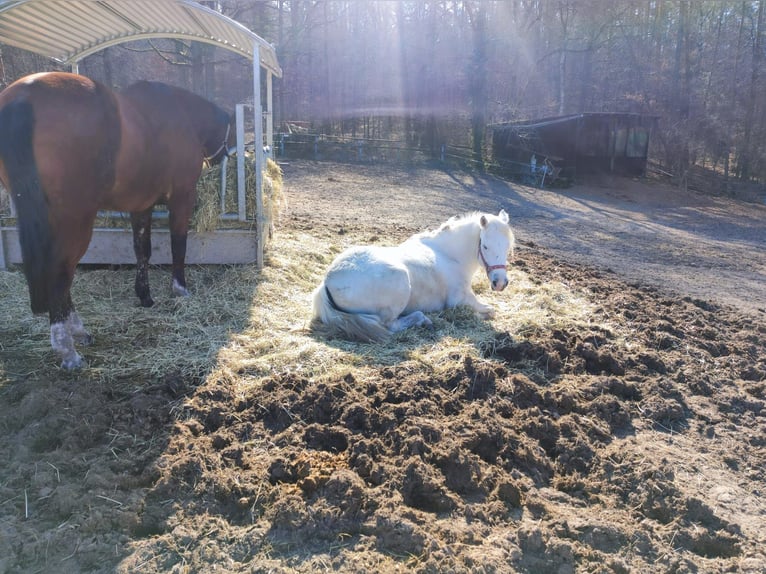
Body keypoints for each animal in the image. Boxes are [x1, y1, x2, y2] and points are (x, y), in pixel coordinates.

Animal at [0, 72, 234, 372]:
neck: (182, 115)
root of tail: (23, 97)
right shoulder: (182, 198)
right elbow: (178, 245)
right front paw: (180, 289)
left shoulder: (141, 206)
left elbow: (142, 250)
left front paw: (145, 296)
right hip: (74, 221)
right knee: (61, 271)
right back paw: (68, 348)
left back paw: (77, 333)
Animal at [312, 214, 516, 344]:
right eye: (486, 246)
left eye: (507, 246)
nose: (500, 283)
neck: (449, 255)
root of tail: (327, 282)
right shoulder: (459, 300)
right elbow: (489, 310)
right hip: (400, 286)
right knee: (390, 325)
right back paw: (423, 320)